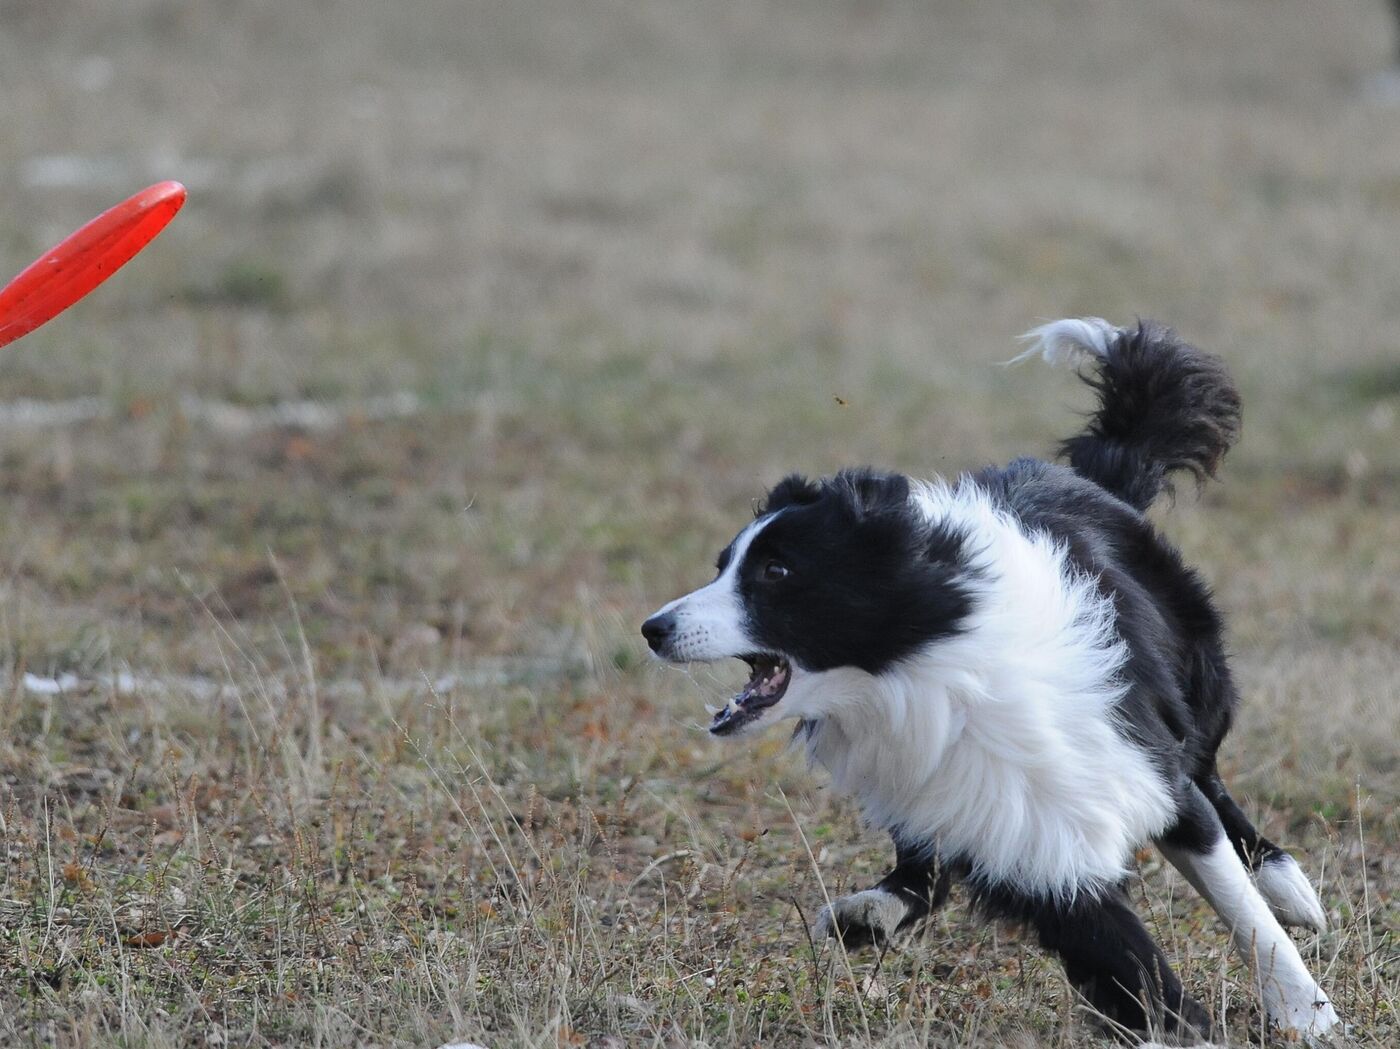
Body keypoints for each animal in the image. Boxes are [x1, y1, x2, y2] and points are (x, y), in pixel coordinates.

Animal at [641, 319, 1338, 1041]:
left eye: (775, 571)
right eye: (723, 565)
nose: (653, 628)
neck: (929, 673)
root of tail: (1092, 479)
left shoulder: (1135, 765)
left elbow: (1239, 903)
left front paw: (1306, 1011)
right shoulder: (1018, 834)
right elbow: (1127, 962)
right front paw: (1186, 1026)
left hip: (1195, 675)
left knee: (1211, 772)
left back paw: (1287, 883)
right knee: (920, 860)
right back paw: (873, 909)